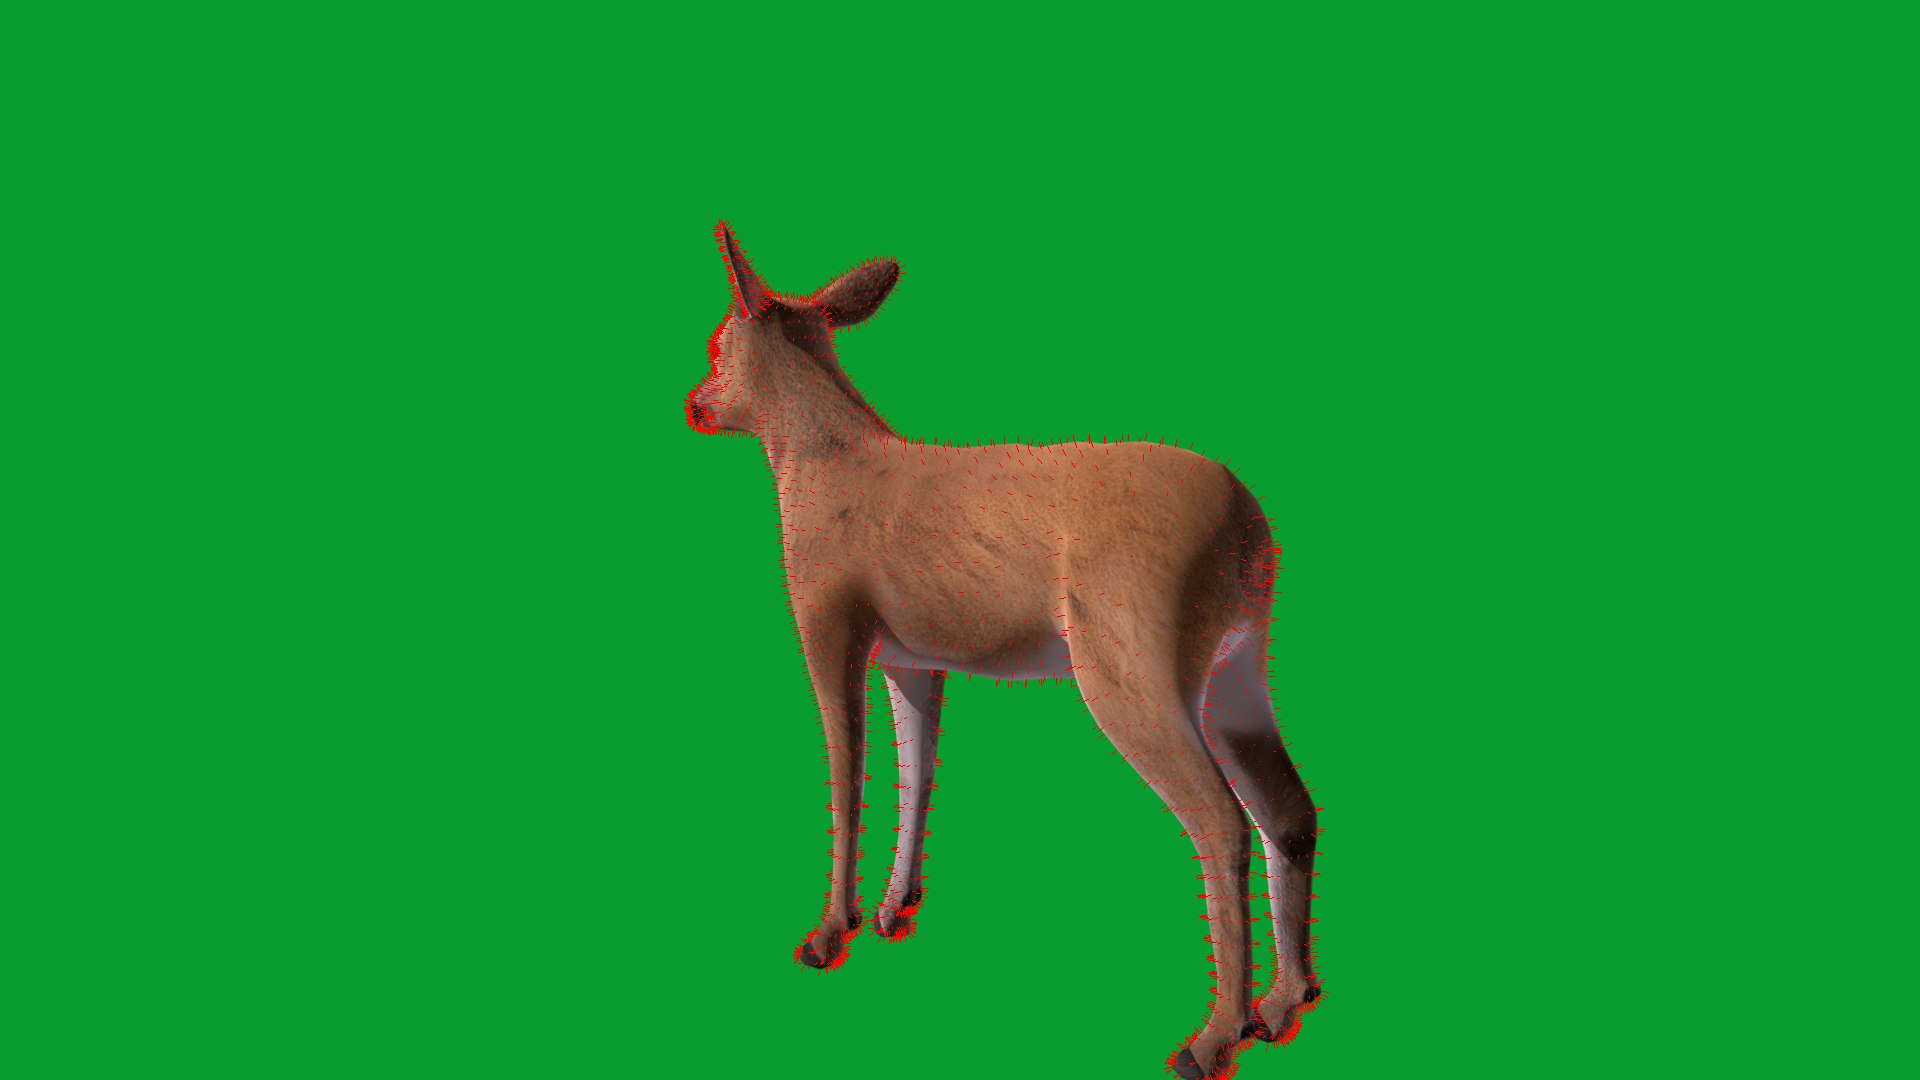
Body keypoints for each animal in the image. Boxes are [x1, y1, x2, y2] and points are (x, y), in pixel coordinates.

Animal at [683, 223, 1324, 1079]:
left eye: (718, 343)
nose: (695, 403)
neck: (818, 465)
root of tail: (1252, 531)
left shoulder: (828, 623)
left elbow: (848, 773)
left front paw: (826, 934)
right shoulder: (912, 656)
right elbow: (918, 771)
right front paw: (893, 909)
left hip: (1131, 668)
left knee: (1221, 819)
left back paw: (1213, 1037)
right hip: (1239, 670)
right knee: (1289, 807)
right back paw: (1284, 1005)